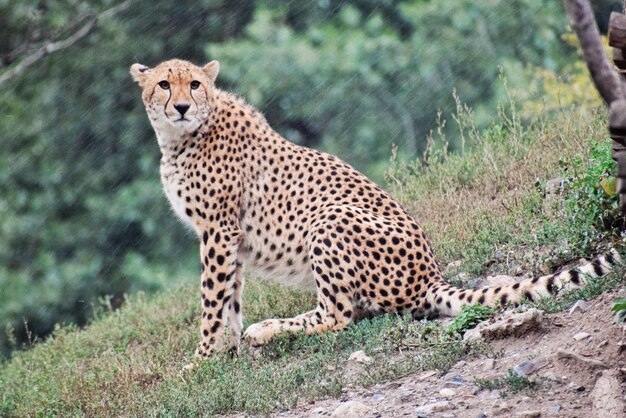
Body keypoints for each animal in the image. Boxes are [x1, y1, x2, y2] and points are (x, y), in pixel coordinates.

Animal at [130, 59, 620, 360]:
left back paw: (269, 329)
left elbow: (212, 301)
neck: (182, 136)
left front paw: (202, 361)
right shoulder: (225, 236)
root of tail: (431, 275)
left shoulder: (217, 230)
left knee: (340, 316)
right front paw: (225, 356)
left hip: (329, 218)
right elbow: (229, 297)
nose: (181, 106)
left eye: (194, 84)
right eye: (163, 84)